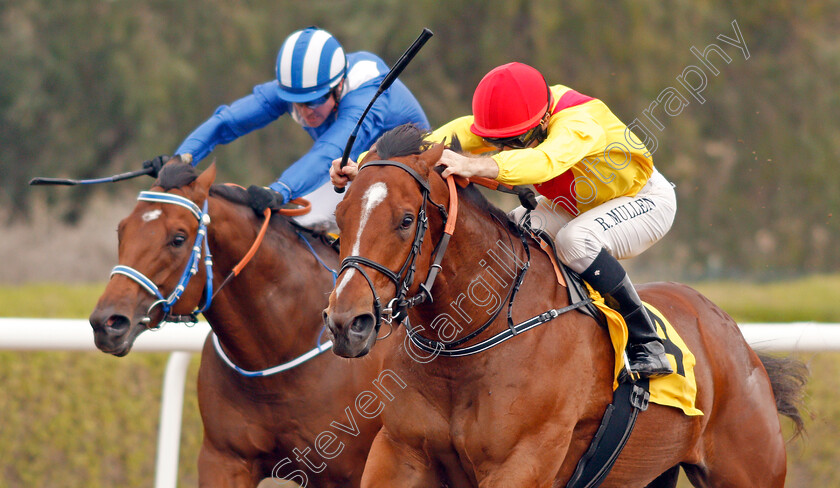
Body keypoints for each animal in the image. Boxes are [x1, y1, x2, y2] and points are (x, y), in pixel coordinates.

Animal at [322, 127, 808, 488]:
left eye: (406, 220)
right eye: (340, 219)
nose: (347, 323)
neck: (463, 350)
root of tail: (735, 338)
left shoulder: (522, 460)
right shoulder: (400, 452)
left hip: (747, 467)